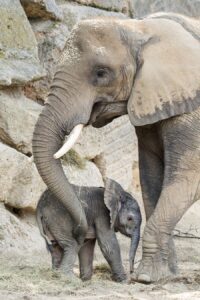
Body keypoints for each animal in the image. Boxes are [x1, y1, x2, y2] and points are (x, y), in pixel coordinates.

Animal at [32, 12, 200, 284]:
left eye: (101, 73)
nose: (78, 231)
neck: (139, 28)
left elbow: (188, 177)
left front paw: (145, 277)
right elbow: (151, 177)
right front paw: (164, 275)